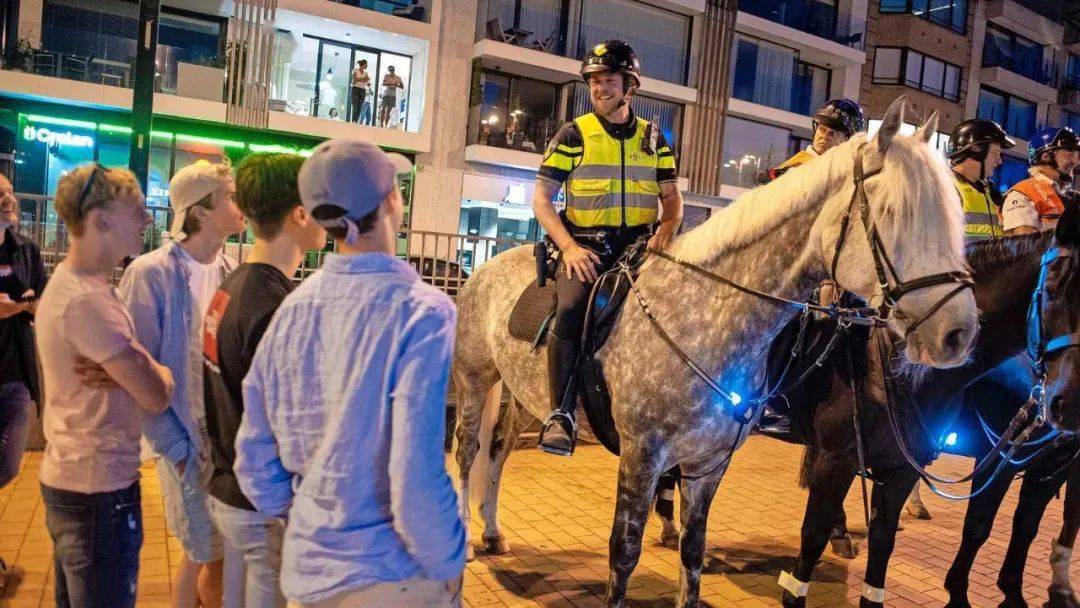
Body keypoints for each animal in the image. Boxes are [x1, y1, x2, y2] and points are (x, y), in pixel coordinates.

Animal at [453, 97, 980, 604]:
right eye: (894, 213)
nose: (959, 333)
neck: (700, 316)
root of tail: (485, 266)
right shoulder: (642, 456)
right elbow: (623, 556)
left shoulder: (708, 464)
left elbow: (693, 552)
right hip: (474, 380)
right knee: (468, 450)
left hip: (525, 396)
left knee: (499, 449)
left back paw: (493, 532)